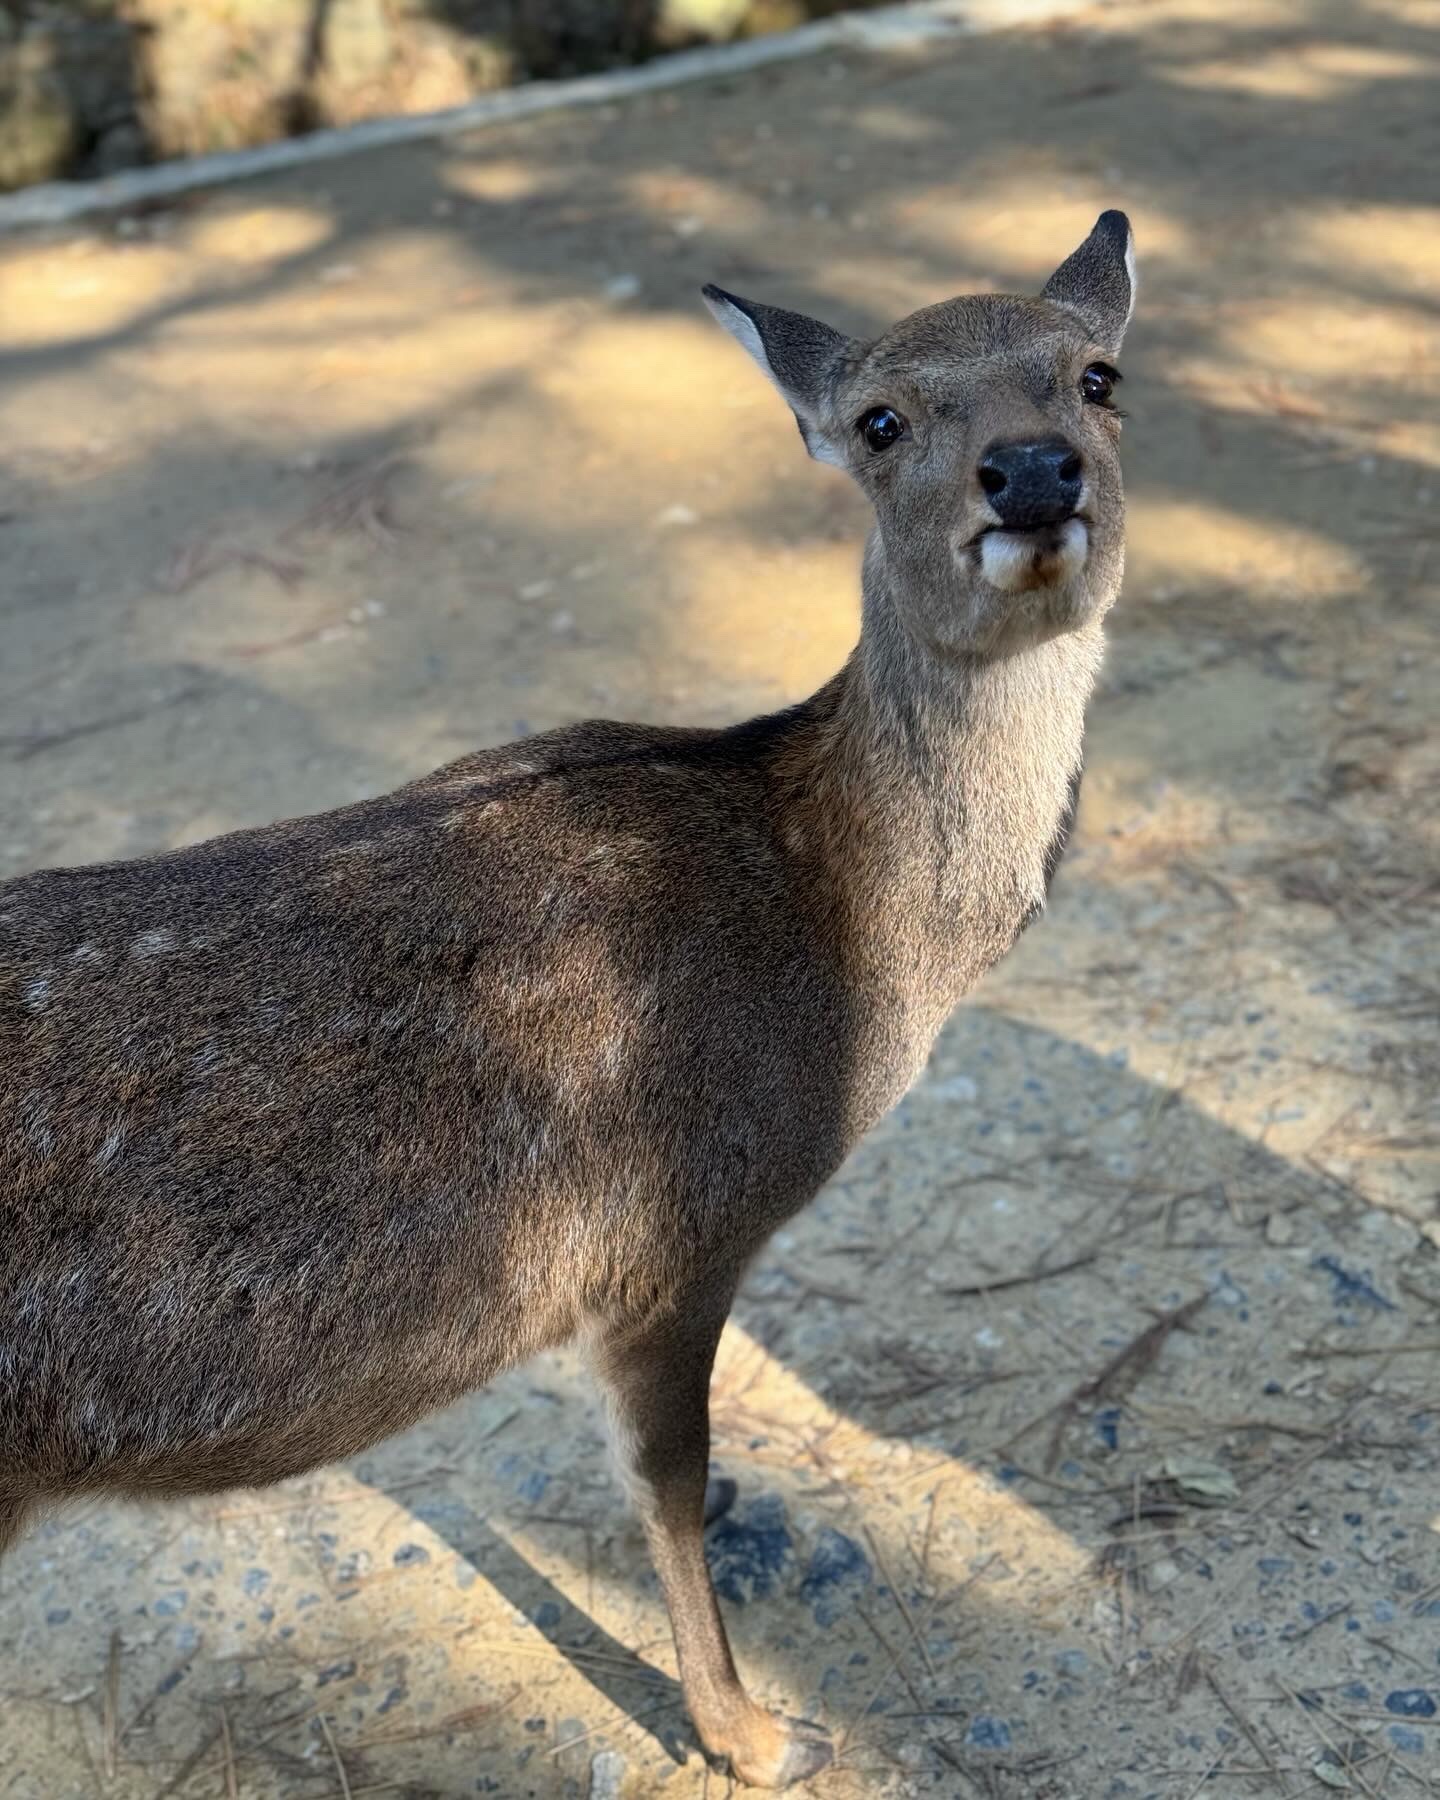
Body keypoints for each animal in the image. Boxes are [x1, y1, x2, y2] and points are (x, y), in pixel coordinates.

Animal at [0, 212, 1135, 1787]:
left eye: (1099, 375)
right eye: (879, 420)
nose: (1032, 471)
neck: (847, 937)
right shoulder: (669, 1230)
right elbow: (669, 1481)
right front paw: (754, 1735)